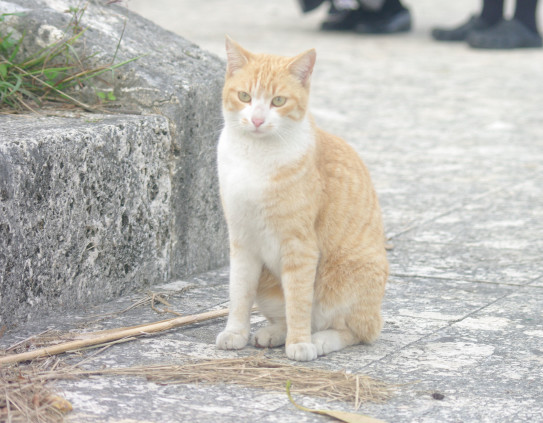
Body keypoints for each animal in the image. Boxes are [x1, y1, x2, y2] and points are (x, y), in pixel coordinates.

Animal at [215, 36, 388, 362]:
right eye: (245, 96)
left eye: (278, 101)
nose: (257, 120)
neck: (255, 158)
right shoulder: (242, 240)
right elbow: (238, 293)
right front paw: (235, 332)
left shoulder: (300, 245)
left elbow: (298, 300)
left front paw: (299, 343)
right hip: (268, 286)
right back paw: (274, 333)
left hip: (349, 280)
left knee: (354, 331)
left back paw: (318, 339)